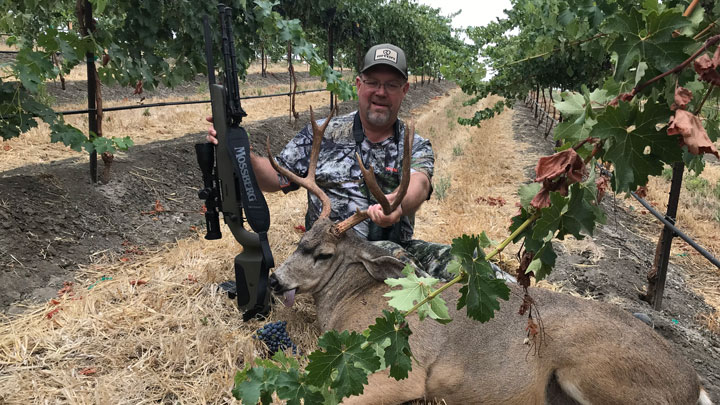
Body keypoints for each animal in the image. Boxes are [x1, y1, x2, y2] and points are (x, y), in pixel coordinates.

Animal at [266, 107, 716, 404]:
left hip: (597, 374)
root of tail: (694, 386)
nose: (275, 279)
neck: (353, 300)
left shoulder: (402, 372)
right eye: (301, 238)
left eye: (323, 254)